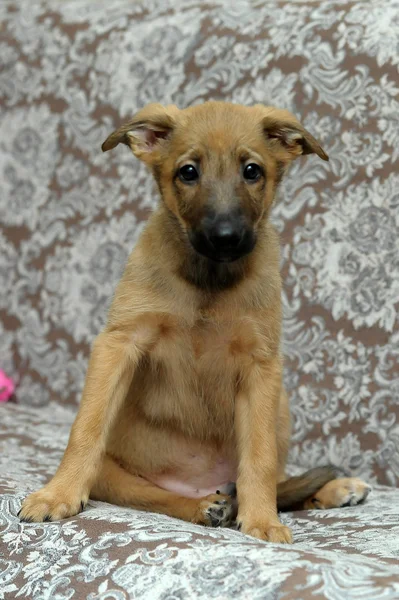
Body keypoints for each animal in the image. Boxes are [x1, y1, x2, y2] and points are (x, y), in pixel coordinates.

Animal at [19, 103, 372, 544]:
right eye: (188, 172)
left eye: (252, 171)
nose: (225, 237)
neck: (209, 279)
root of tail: (203, 484)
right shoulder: (118, 343)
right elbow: (85, 429)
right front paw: (59, 494)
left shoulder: (262, 366)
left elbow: (259, 457)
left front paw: (262, 521)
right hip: (116, 475)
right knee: (160, 497)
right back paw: (208, 506)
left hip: (281, 405)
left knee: (279, 482)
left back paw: (325, 491)